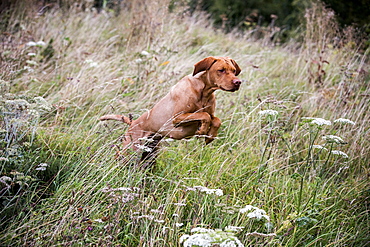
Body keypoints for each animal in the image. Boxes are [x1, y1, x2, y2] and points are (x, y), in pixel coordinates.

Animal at [99, 56, 241, 164]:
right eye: (221, 70)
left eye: (234, 71)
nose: (238, 82)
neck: (203, 91)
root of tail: (132, 123)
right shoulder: (177, 119)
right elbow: (204, 115)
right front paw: (204, 129)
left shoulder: (209, 114)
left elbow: (216, 119)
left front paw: (210, 136)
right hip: (130, 149)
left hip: (150, 154)